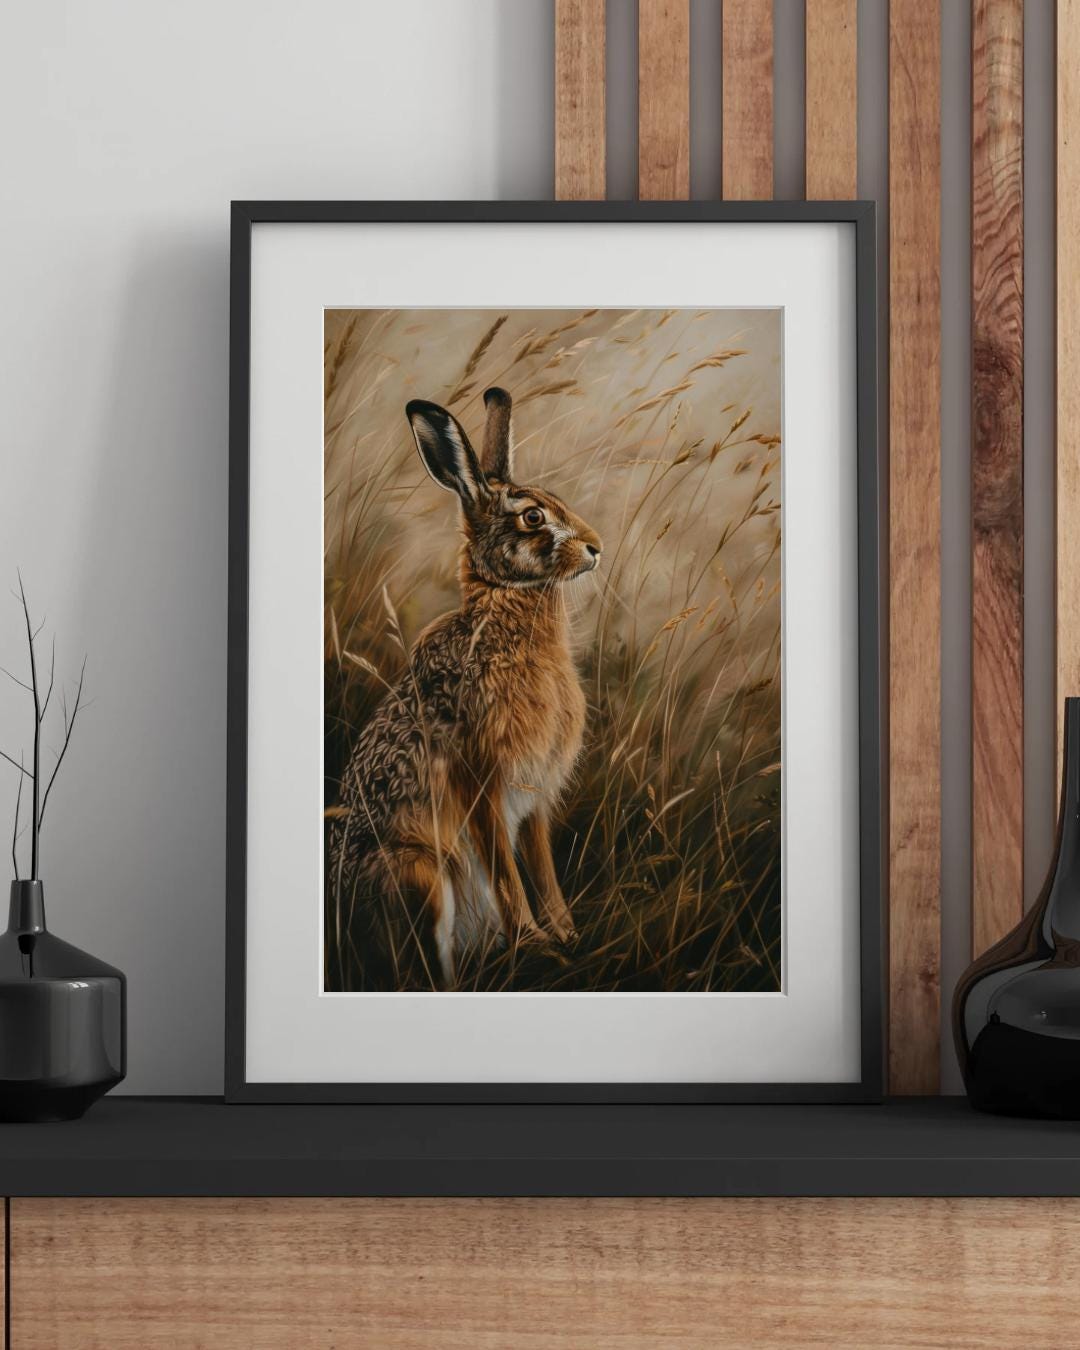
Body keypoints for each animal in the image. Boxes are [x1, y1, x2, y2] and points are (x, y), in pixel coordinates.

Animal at [327, 386, 602, 990]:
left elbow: (541, 869)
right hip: (418, 873)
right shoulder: (481, 781)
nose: (597, 547)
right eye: (532, 516)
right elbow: (506, 873)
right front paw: (537, 944)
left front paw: (567, 935)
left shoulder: (535, 797)